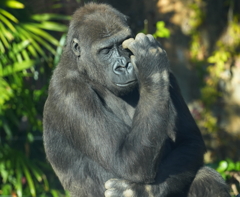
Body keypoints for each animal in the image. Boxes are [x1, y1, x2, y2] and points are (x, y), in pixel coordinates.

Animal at [42, 2, 231, 197]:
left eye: (122, 44)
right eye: (106, 51)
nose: (123, 66)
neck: (84, 69)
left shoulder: (169, 75)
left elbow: (189, 141)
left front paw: (137, 190)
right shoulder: (69, 94)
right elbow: (124, 161)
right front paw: (150, 61)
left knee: (204, 177)